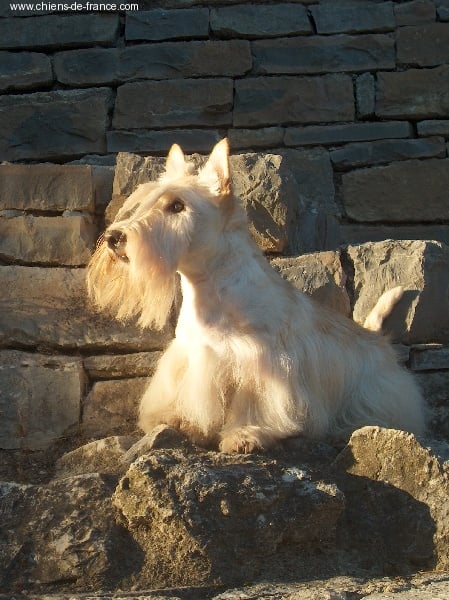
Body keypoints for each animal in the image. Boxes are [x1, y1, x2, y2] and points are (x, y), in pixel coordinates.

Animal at [86, 138, 424, 452]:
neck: (209, 288)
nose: (114, 237)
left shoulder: (263, 362)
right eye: (144, 203)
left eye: (177, 206)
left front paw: (245, 434)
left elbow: (254, 403)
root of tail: (376, 338)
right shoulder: (192, 357)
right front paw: (181, 420)